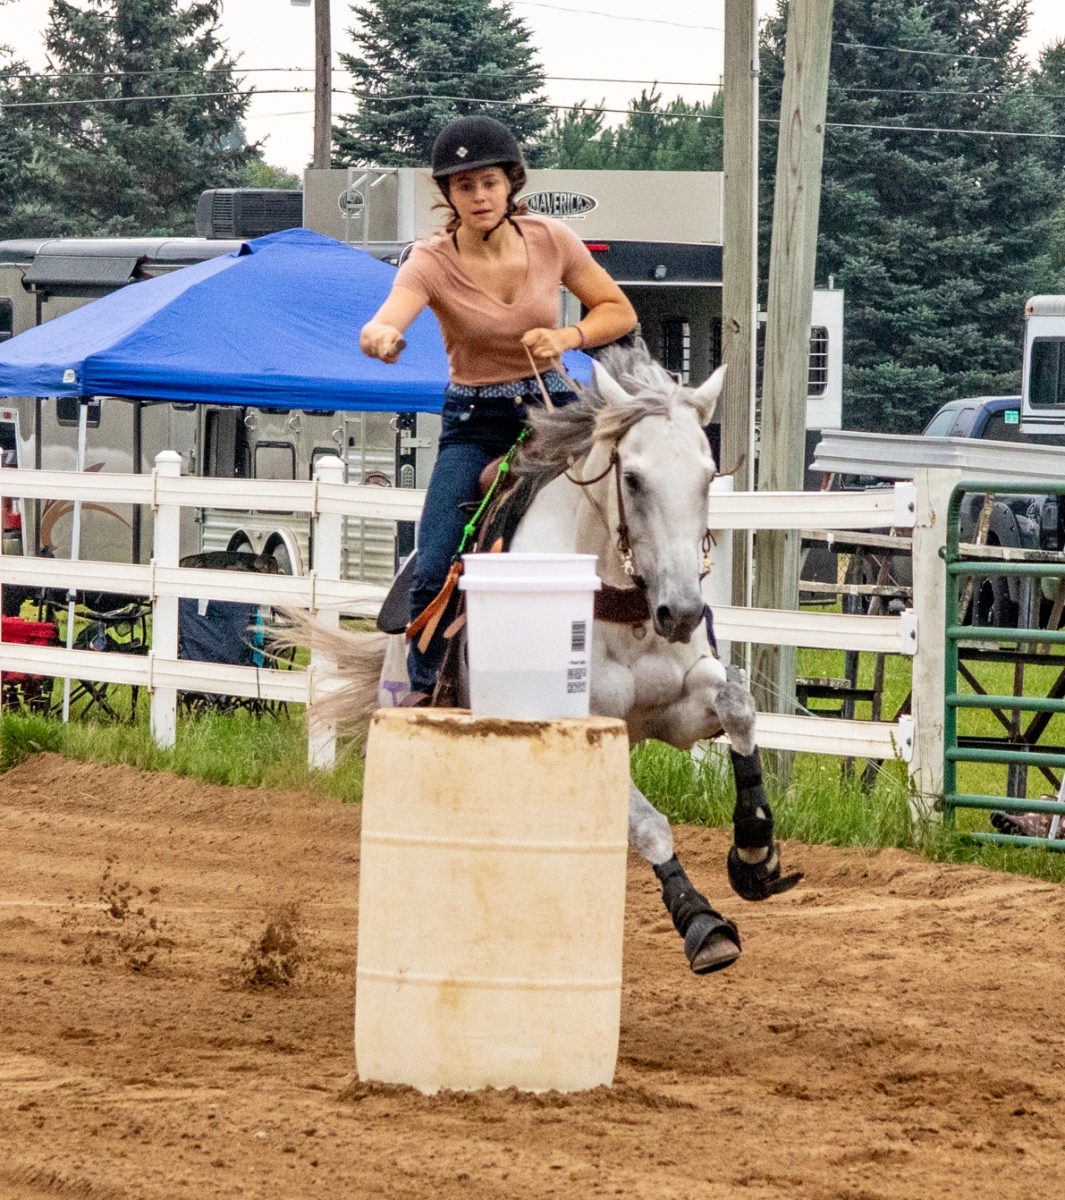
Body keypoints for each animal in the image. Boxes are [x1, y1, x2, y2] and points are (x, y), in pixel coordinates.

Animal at [298, 346, 801, 975]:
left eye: (708, 476)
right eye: (632, 478)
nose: (682, 611)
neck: (618, 605)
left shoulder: (676, 711)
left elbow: (737, 704)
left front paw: (756, 851)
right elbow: (648, 824)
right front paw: (701, 922)